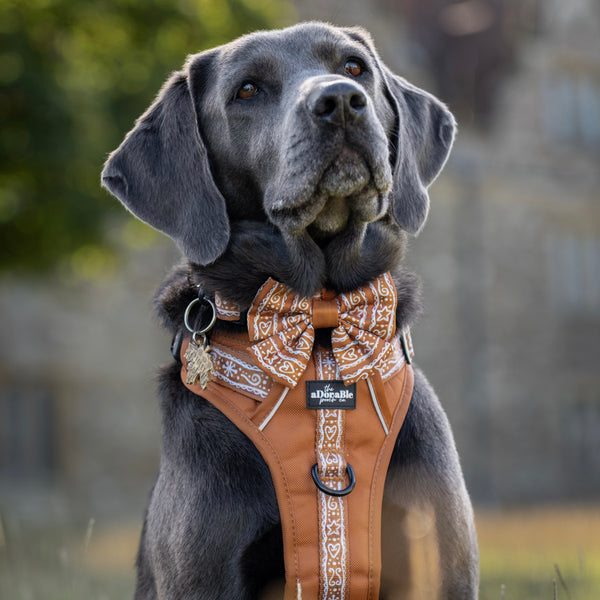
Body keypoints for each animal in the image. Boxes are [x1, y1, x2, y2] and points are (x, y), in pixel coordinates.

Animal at [102, 21, 478, 596]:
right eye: (247, 90)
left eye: (353, 67)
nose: (341, 101)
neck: (321, 322)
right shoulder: (207, 570)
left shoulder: (442, 560)